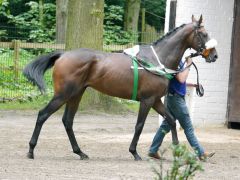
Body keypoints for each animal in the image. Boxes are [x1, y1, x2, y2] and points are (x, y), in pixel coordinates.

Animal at [23, 15, 218, 161]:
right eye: (204, 34)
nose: (214, 55)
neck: (158, 60)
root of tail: (63, 54)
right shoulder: (147, 100)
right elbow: (139, 125)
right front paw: (134, 152)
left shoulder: (155, 100)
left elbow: (170, 120)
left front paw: (177, 150)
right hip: (63, 94)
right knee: (43, 114)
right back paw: (31, 150)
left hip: (76, 94)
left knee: (68, 121)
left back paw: (80, 152)